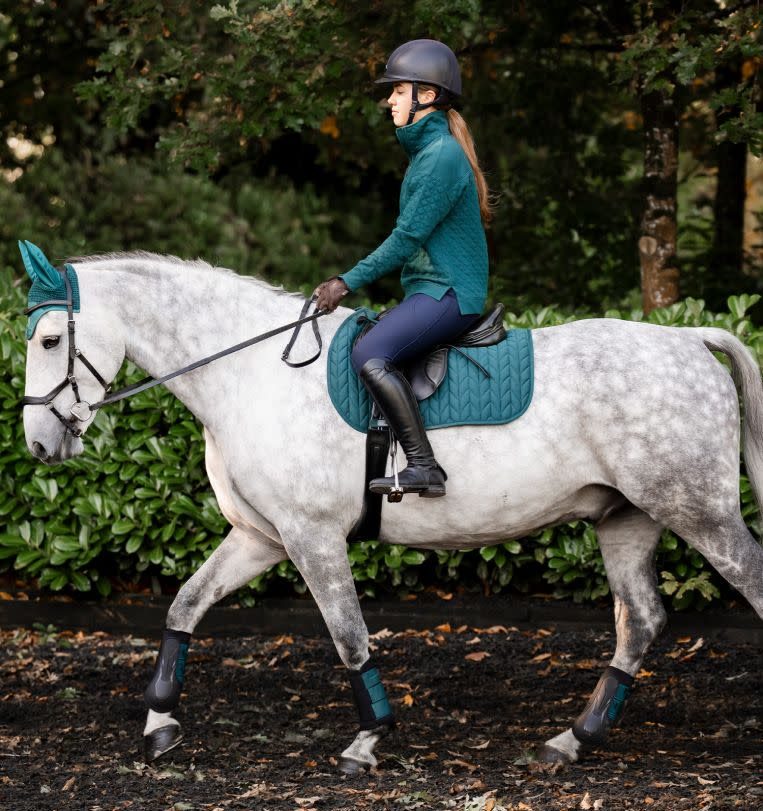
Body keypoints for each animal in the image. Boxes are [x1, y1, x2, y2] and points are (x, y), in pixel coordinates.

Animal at [20, 249, 763, 774]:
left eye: (51, 340)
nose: (37, 443)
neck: (252, 374)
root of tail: (691, 341)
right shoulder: (261, 536)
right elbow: (184, 605)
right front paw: (159, 726)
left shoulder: (311, 536)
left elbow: (349, 635)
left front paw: (367, 739)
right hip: (626, 519)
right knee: (640, 621)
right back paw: (570, 740)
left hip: (700, 512)